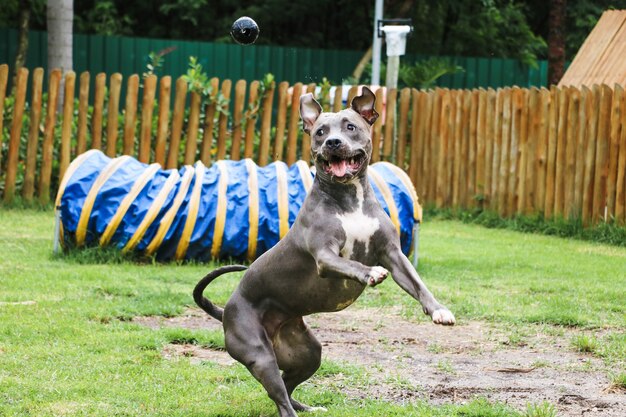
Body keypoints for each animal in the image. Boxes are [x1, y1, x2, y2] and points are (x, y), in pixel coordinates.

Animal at [191, 86, 454, 414]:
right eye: (320, 132)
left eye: (350, 127)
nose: (333, 142)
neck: (349, 198)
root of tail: (226, 310)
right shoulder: (325, 257)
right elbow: (352, 265)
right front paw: (371, 273)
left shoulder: (394, 254)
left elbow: (418, 284)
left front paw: (439, 310)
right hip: (259, 353)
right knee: (278, 397)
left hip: (308, 353)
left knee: (286, 386)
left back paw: (308, 407)